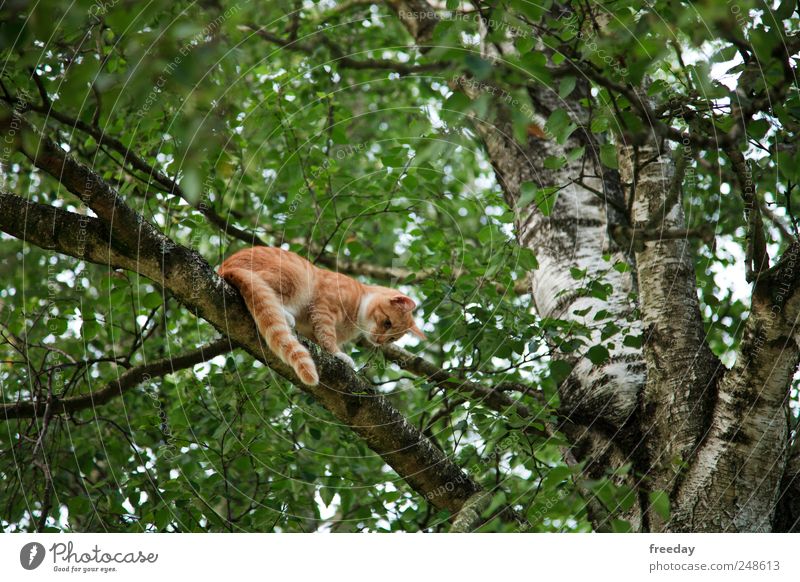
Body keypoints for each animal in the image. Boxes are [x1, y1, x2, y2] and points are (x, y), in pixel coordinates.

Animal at [216, 246, 422, 388]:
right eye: (387, 322)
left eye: (393, 338)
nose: (379, 341)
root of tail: (225, 270)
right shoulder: (323, 309)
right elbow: (328, 337)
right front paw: (339, 354)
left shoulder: (312, 329)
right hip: (295, 276)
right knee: (265, 293)